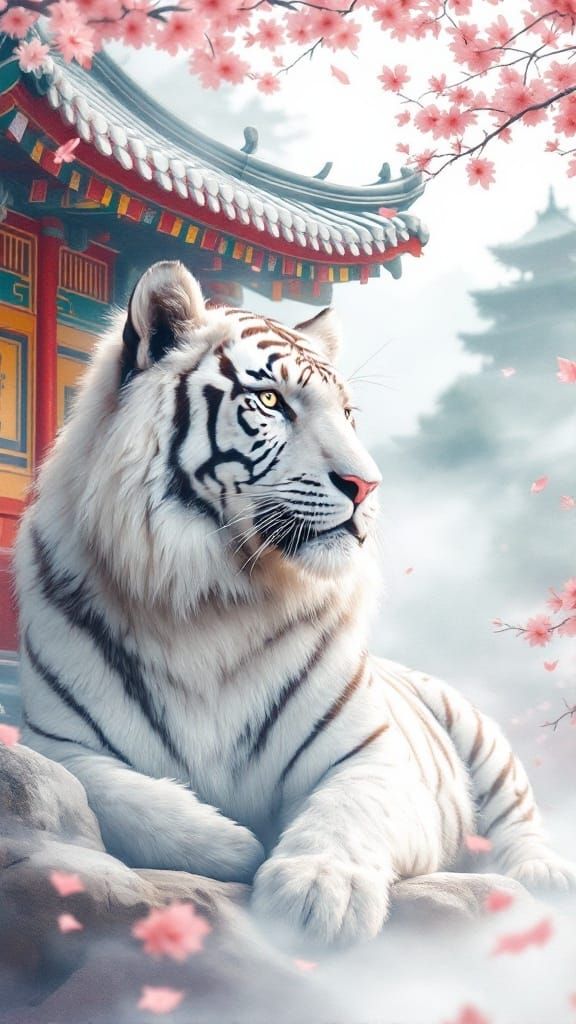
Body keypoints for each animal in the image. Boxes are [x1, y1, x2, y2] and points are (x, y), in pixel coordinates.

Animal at [15, 260, 576, 945]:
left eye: (348, 413)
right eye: (271, 401)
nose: (368, 485)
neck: (212, 595)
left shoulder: (375, 756)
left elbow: (347, 809)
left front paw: (318, 890)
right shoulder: (56, 743)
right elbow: (115, 795)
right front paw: (235, 842)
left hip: (480, 736)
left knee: (519, 821)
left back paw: (546, 874)